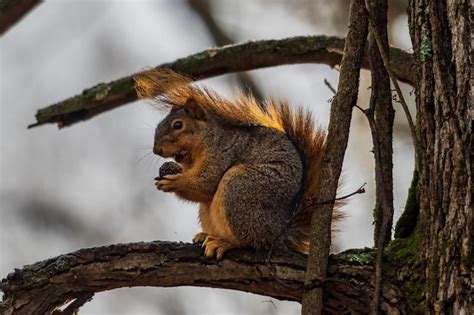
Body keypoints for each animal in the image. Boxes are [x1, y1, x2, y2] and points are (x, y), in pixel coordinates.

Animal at [133, 70, 340, 260]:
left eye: (178, 125)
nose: (156, 150)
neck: (205, 140)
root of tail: (280, 233)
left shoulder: (223, 152)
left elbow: (206, 183)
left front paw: (174, 182)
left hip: (240, 188)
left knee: (251, 241)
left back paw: (224, 242)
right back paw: (206, 235)